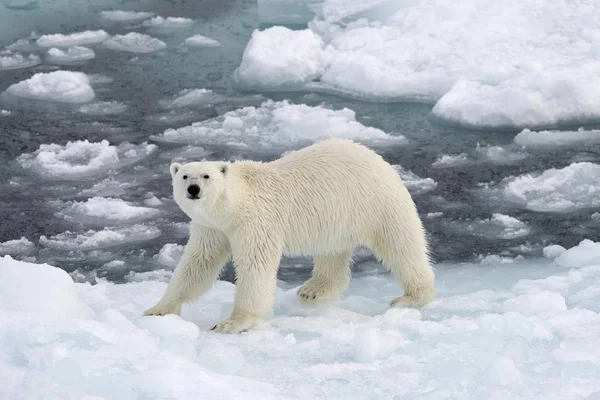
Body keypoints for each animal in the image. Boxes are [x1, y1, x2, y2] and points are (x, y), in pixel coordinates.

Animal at [145, 139, 436, 332]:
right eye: (184, 176)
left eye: (206, 176)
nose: (193, 189)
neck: (234, 205)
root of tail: (378, 158)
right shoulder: (212, 227)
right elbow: (198, 262)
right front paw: (158, 309)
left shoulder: (256, 221)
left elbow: (255, 266)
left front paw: (232, 323)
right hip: (336, 217)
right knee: (332, 252)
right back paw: (313, 290)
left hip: (375, 202)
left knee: (401, 243)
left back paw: (412, 296)